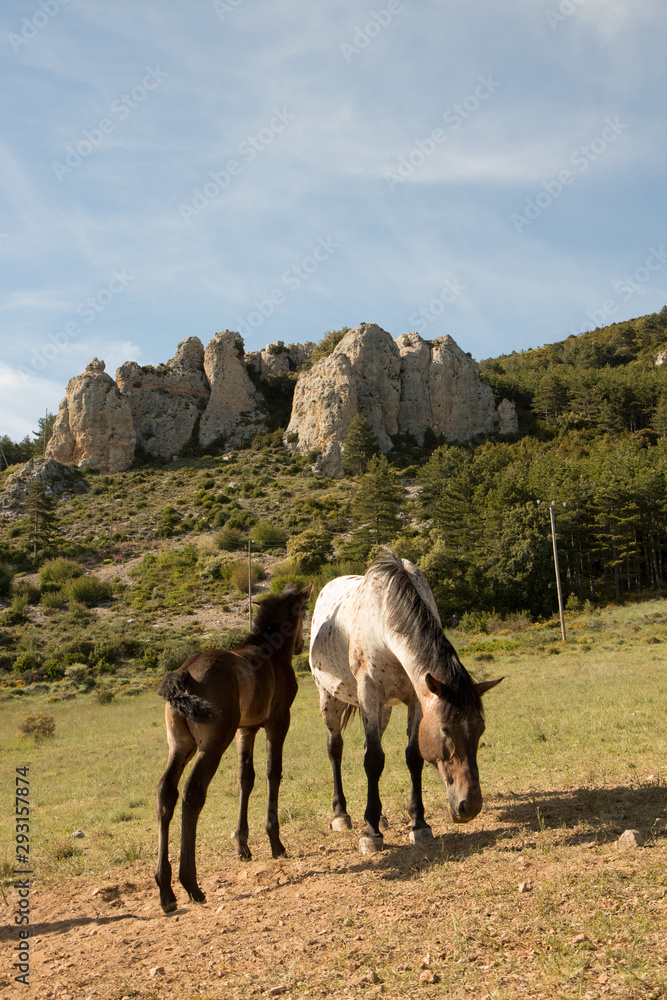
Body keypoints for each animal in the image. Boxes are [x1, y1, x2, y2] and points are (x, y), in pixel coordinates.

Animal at [155, 582, 312, 913]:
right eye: (305, 609)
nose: (300, 644)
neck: (270, 650)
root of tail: (184, 673)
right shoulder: (278, 721)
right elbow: (273, 773)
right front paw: (275, 842)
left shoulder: (246, 729)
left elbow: (245, 778)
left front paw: (243, 845)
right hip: (212, 744)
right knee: (192, 793)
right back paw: (191, 884)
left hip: (180, 746)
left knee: (166, 792)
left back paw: (165, 890)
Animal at [309, 552, 502, 853]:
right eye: (446, 730)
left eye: (481, 729)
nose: (469, 806)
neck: (383, 618)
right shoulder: (369, 692)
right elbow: (373, 759)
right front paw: (370, 833)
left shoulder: (416, 698)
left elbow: (412, 756)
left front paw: (419, 824)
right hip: (328, 697)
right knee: (335, 748)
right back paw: (342, 815)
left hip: (385, 709)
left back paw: (381, 817)